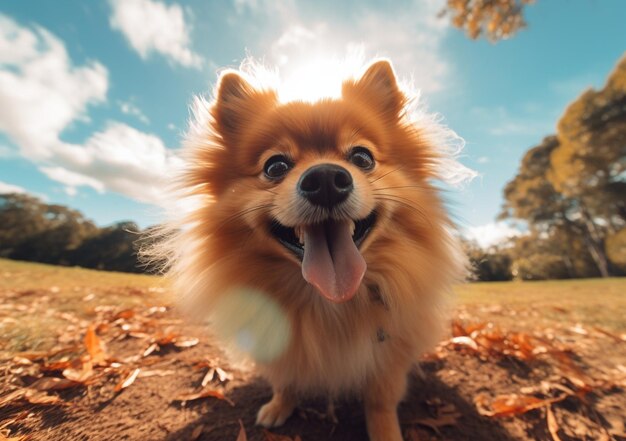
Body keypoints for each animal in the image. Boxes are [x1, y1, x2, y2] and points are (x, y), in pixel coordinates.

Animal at [158, 59, 466, 440]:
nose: (325, 180)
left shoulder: (388, 356)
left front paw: (386, 433)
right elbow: (285, 378)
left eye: (362, 158)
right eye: (275, 166)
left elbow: (380, 403)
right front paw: (279, 406)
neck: (329, 302)